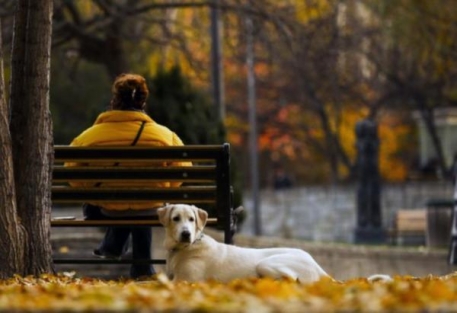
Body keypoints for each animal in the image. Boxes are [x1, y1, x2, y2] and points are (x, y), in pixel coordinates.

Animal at [157, 204, 328, 282]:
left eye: (192, 219)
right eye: (176, 218)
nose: (186, 234)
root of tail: (318, 267)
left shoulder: (185, 280)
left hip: (265, 264)